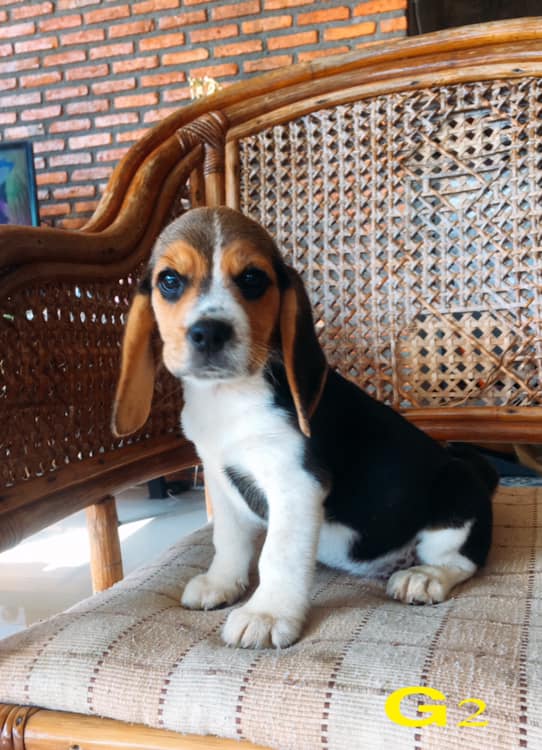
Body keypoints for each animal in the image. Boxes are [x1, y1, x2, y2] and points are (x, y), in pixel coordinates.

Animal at [112, 206, 498, 649]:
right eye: (170, 281)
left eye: (252, 279)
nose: (209, 332)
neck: (229, 394)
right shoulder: (219, 479)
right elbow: (228, 541)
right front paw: (221, 584)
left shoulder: (296, 484)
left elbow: (277, 555)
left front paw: (267, 613)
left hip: (457, 492)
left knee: (460, 559)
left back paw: (422, 576)